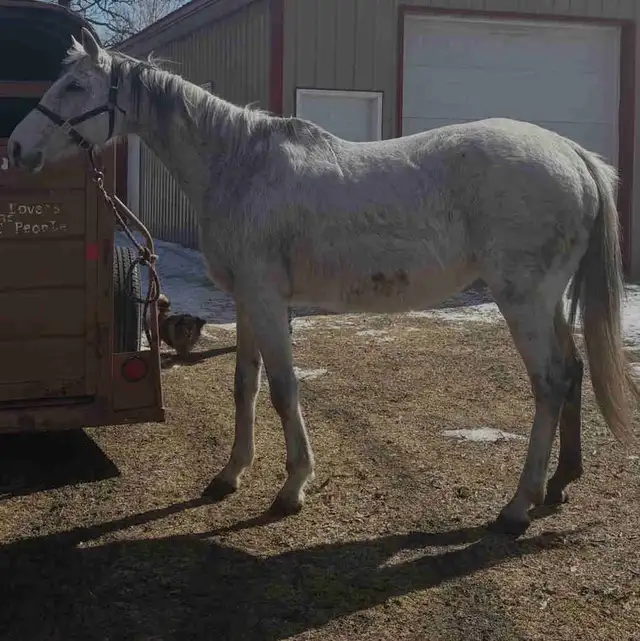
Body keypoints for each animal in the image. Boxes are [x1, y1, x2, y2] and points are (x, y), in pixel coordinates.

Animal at [8, 28, 638, 537]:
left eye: (74, 86)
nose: (16, 148)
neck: (239, 166)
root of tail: (572, 153)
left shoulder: (267, 301)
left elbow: (284, 390)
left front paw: (292, 488)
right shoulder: (248, 301)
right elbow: (245, 387)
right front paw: (229, 475)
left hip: (523, 300)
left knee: (550, 383)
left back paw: (518, 505)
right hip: (547, 300)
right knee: (573, 371)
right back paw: (561, 483)